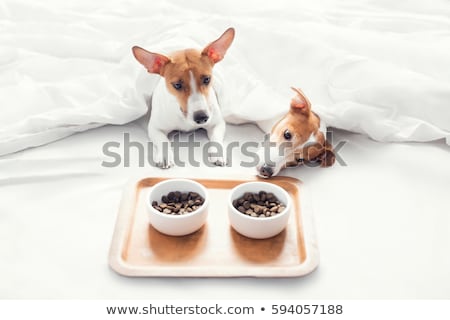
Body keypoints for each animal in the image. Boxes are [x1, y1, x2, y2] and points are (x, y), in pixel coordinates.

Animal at [132, 28, 236, 168]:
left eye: (207, 79)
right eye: (177, 85)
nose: (201, 117)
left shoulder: (217, 123)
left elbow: (216, 139)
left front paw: (219, 153)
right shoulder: (155, 128)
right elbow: (162, 140)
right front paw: (165, 155)